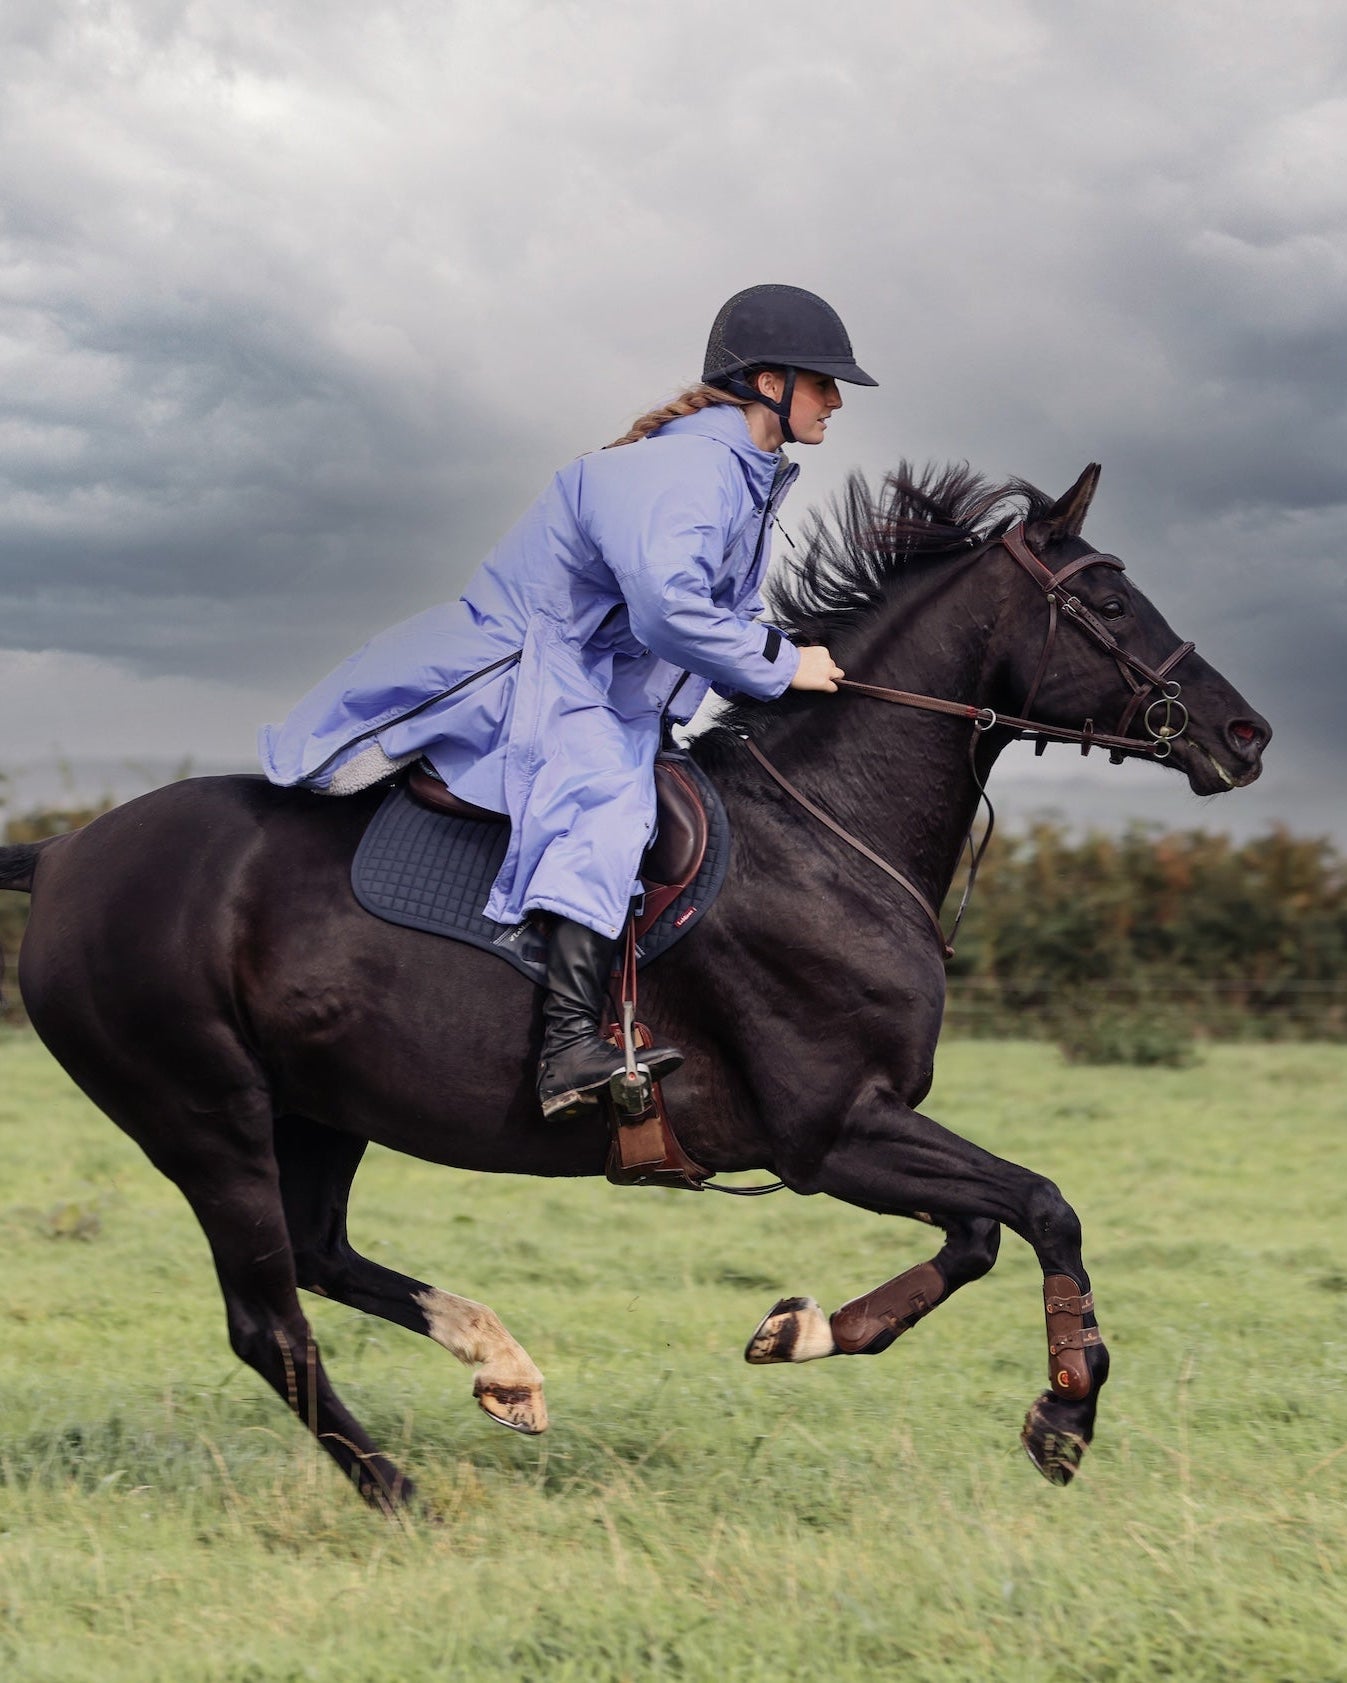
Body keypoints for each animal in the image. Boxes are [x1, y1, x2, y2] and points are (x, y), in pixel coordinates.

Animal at [0, 462, 1269, 1509]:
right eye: (1112, 606)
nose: (1245, 733)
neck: (825, 834)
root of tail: (62, 854)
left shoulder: (857, 1132)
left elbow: (977, 1235)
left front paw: (800, 1331)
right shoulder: (833, 1132)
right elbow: (1042, 1207)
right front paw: (1064, 1414)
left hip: (318, 1111)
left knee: (318, 1256)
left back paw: (502, 1368)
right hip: (206, 1119)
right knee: (268, 1320)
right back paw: (401, 1493)